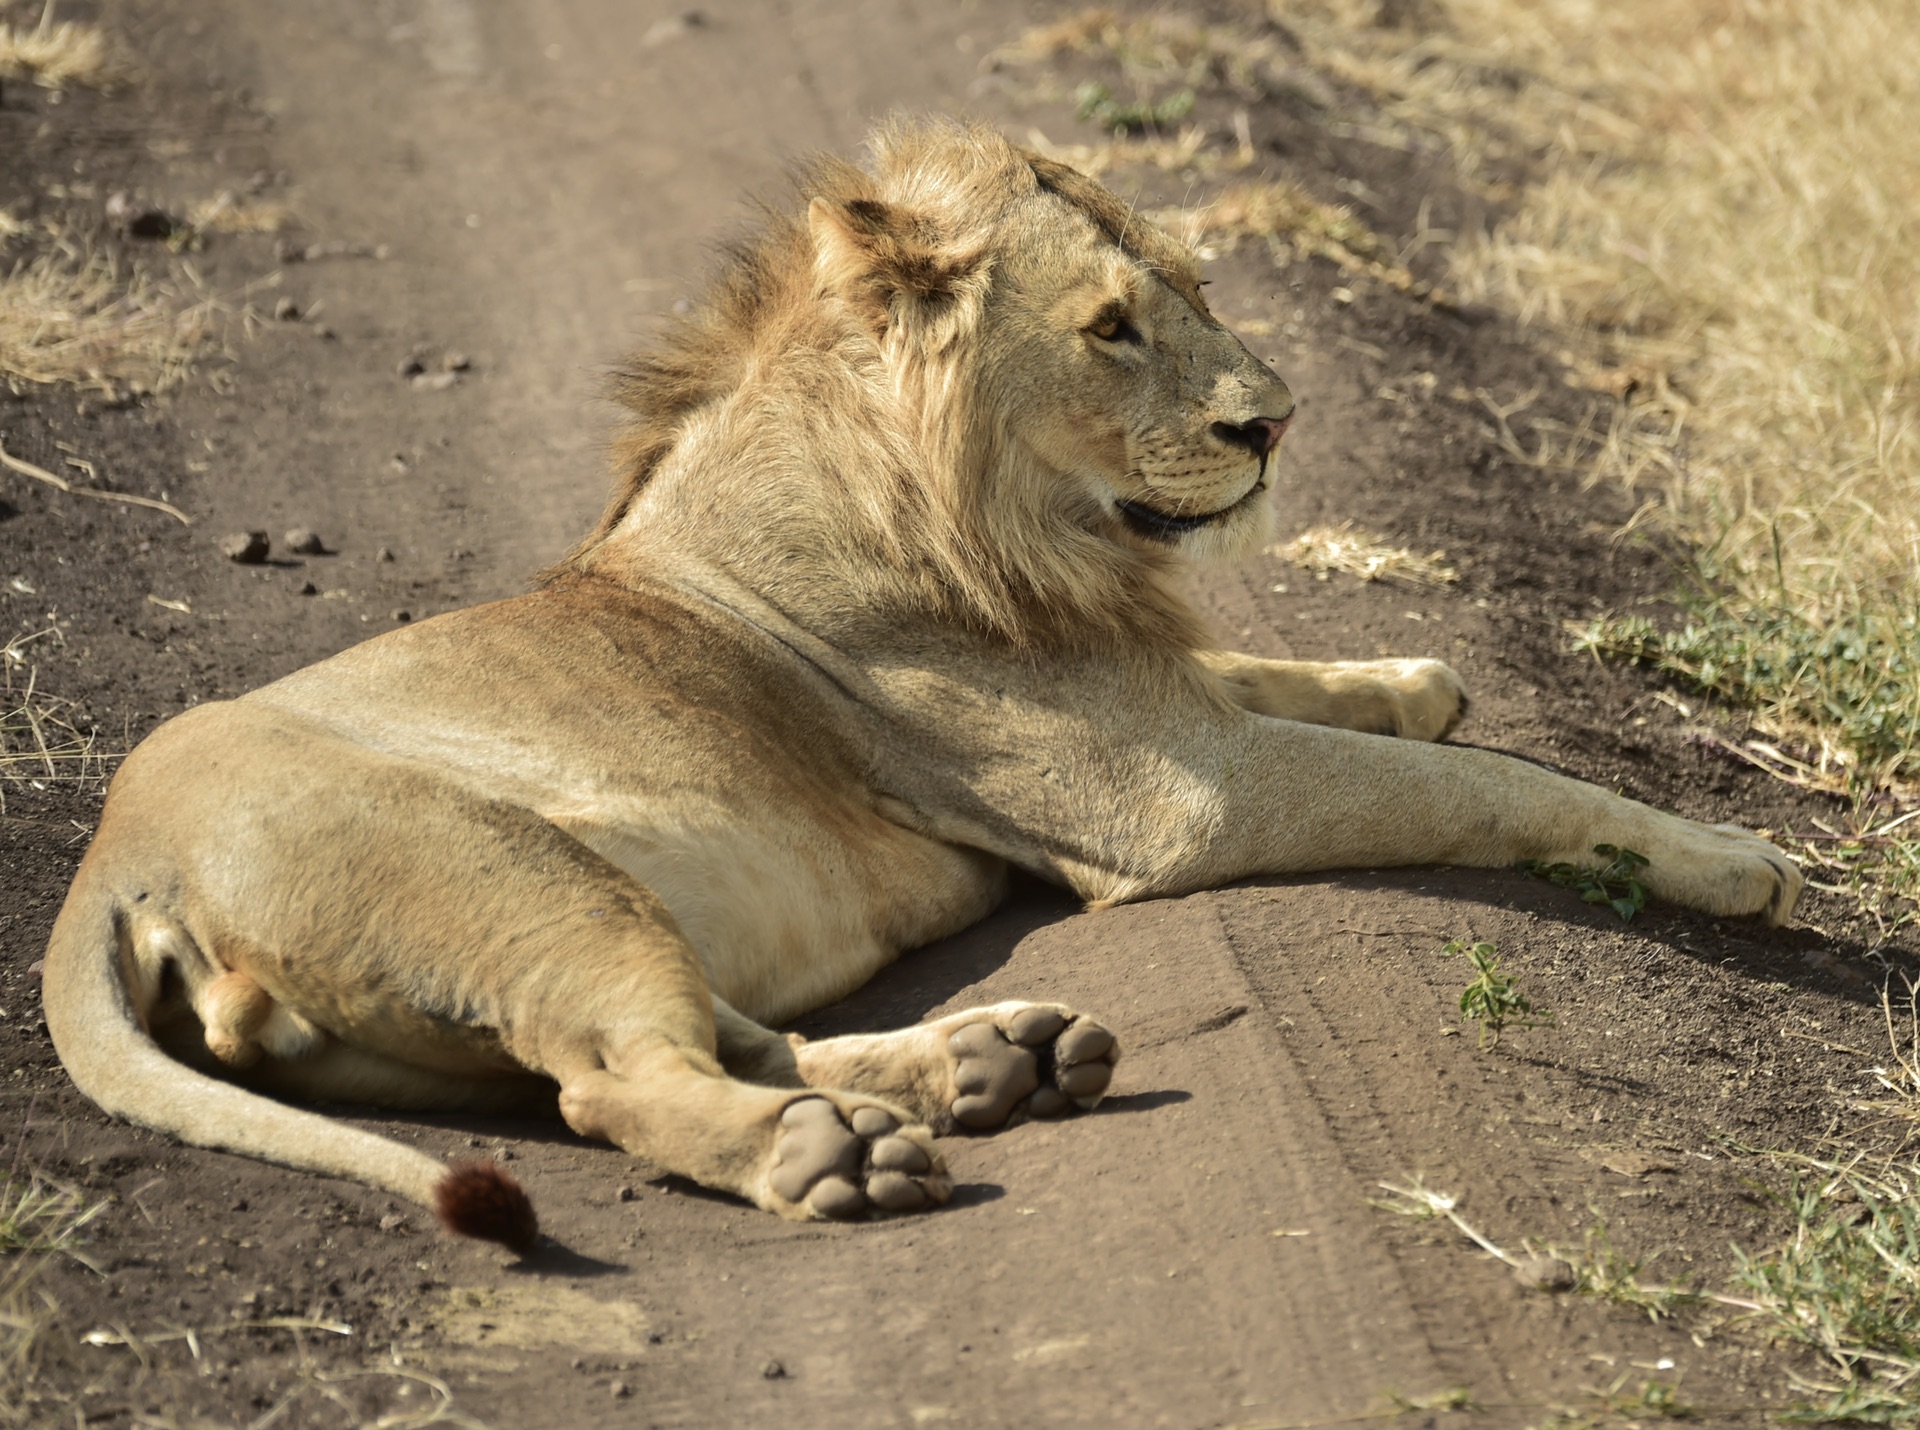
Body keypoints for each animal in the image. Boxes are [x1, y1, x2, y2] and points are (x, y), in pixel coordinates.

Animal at [48, 117, 1812, 1243]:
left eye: (1200, 289)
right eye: (1112, 327)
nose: (1278, 421)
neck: (999, 525)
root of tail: (111, 865)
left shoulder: (1158, 700)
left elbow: (1303, 680)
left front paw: (1414, 668)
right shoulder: (1178, 798)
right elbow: (1490, 784)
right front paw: (1738, 857)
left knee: (707, 1038)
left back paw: (992, 1064)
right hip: (523, 880)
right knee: (620, 1087)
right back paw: (839, 1156)